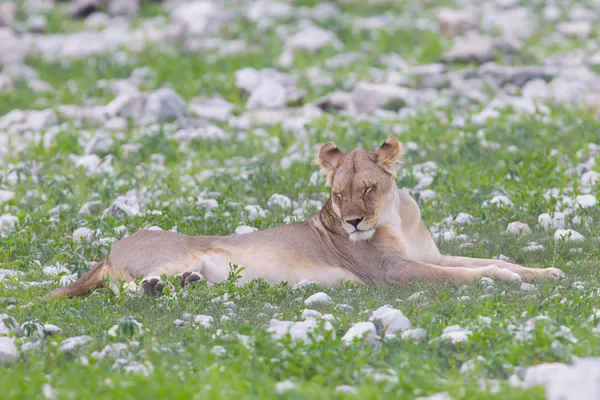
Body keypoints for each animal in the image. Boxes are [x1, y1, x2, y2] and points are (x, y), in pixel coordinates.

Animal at [42, 136, 564, 298]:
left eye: (367, 188)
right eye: (338, 195)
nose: (353, 223)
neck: (394, 216)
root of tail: (110, 248)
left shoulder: (429, 254)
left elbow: (489, 260)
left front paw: (543, 272)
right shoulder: (390, 271)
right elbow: (460, 275)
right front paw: (499, 281)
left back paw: (185, 286)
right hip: (169, 255)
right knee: (125, 291)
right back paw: (156, 287)